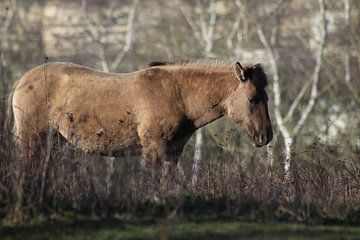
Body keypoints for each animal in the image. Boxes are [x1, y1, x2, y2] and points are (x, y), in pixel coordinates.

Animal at [9, 60, 272, 188]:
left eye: (266, 97)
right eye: (252, 98)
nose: (266, 136)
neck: (177, 95)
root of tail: (23, 80)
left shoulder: (172, 152)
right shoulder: (153, 148)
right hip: (32, 140)